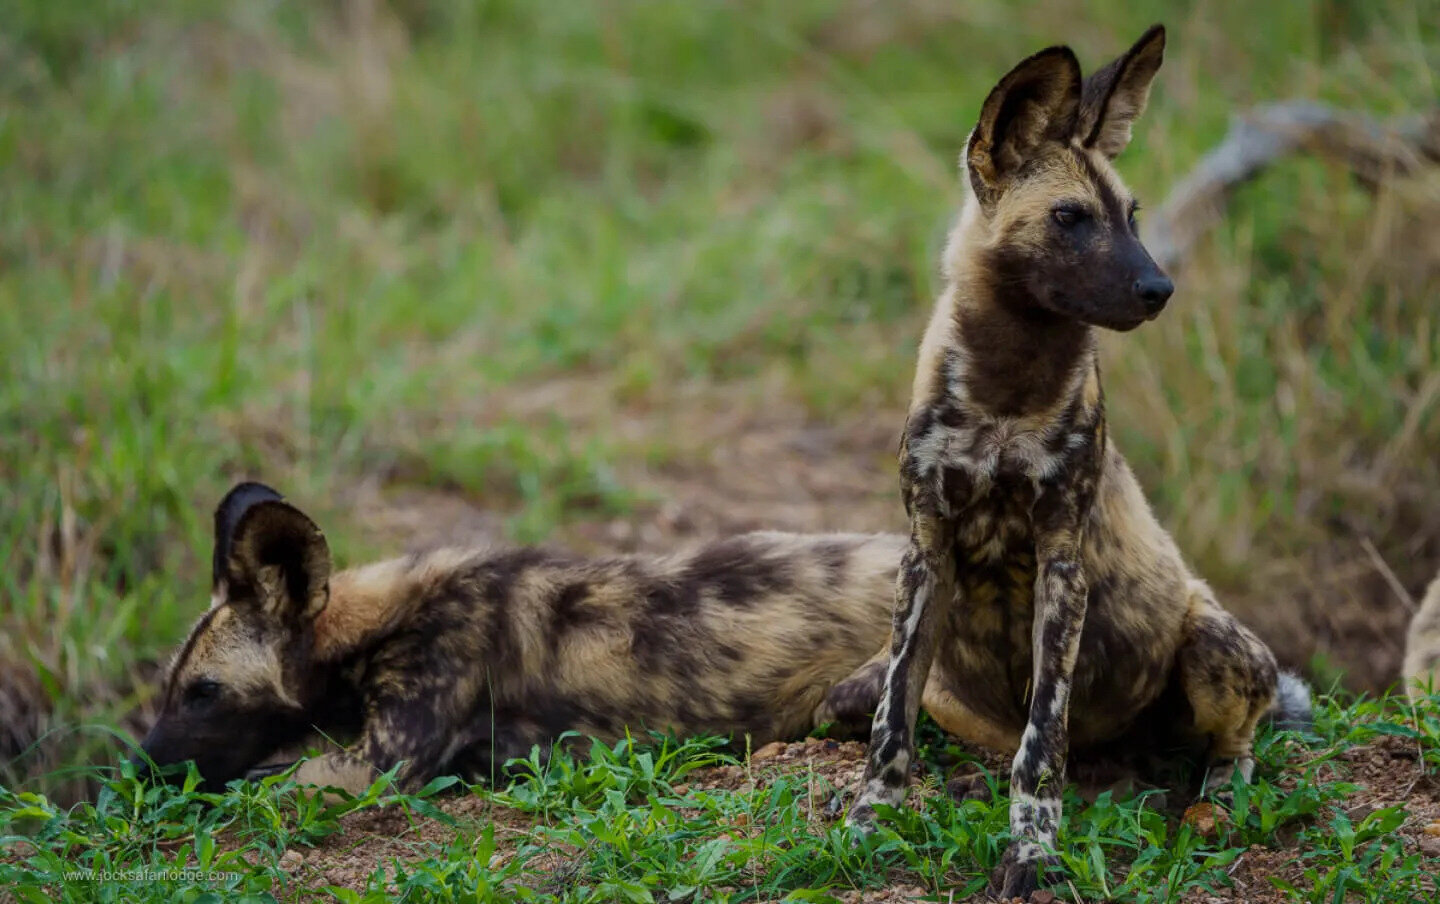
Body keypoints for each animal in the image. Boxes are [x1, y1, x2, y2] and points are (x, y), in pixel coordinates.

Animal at [136, 481, 906, 794]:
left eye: (203, 693)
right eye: (168, 688)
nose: (141, 768)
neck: (381, 621)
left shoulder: (376, 761)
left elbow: (243, 789)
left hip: (850, 695)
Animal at [839, 25, 1310, 898]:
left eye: (1131, 215)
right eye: (1070, 218)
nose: (1160, 288)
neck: (1006, 390)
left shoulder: (1062, 565)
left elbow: (1042, 744)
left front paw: (1032, 848)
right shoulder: (926, 553)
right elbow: (892, 723)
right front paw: (869, 816)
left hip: (1214, 646)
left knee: (1234, 748)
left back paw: (1209, 803)